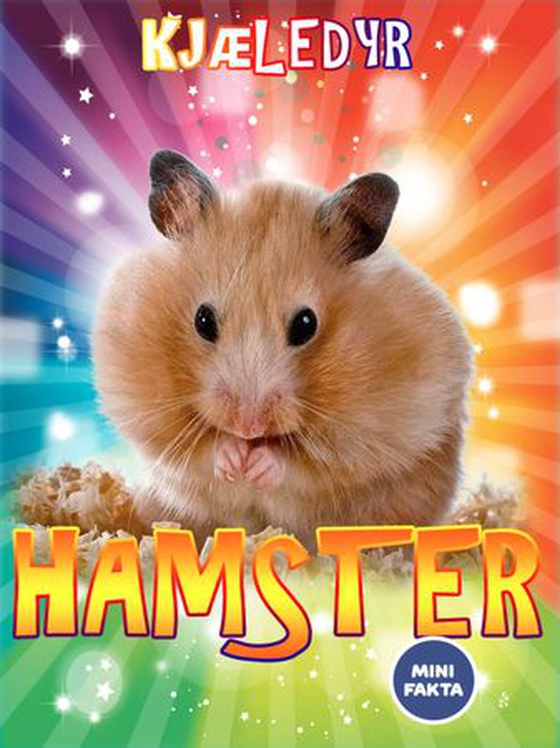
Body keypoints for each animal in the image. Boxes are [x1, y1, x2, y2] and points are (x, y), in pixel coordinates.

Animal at [93, 150, 472, 547]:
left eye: (306, 324)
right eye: (203, 320)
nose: (248, 427)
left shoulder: (374, 434)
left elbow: (308, 463)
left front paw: (257, 463)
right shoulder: (146, 412)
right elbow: (198, 449)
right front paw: (234, 458)